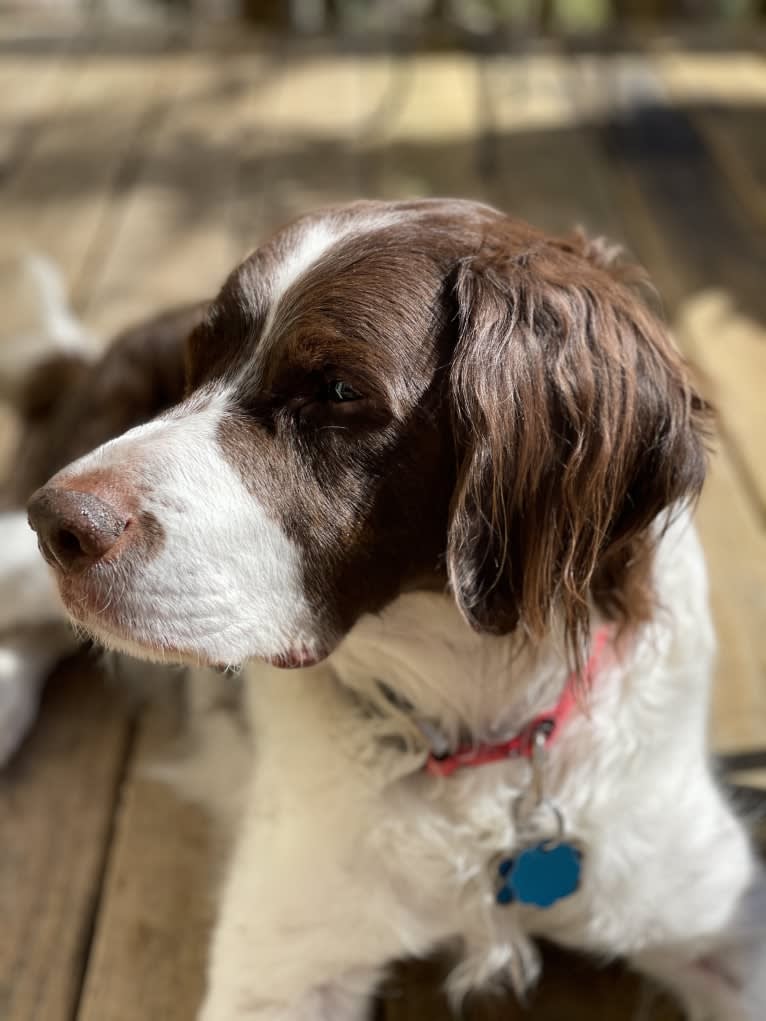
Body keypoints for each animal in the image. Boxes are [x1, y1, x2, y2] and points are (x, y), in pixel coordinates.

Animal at [1, 197, 766, 1012]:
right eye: (195, 365)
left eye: (337, 391)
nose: (59, 524)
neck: (477, 731)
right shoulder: (279, 974)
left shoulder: (720, 919)